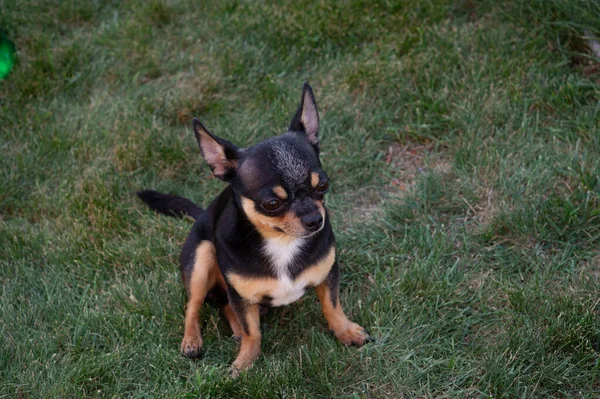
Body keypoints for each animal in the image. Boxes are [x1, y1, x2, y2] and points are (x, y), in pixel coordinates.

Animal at [138, 83, 370, 376]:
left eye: (323, 185)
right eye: (272, 204)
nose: (315, 219)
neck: (281, 242)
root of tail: (202, 213)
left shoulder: (328, 274)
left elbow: (332, 305)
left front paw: (345, 331)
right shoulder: (240, 295)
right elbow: (253, 332)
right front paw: (246, 361)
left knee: (222, 306)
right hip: (201, 258)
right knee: (194, 305)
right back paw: (192, 340)